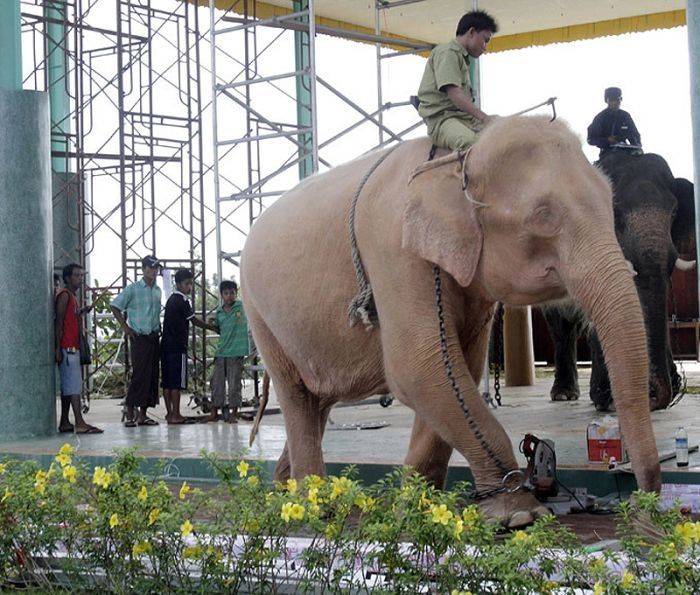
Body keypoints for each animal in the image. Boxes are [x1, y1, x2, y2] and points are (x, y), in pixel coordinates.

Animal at [239, 115, 656, 528]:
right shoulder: (395, 250)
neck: (458, 159)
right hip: (258, 313)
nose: (642, 511)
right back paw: (310, 508)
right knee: (296, 397)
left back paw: (282, 493)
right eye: (542, 216)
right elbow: (419, 368)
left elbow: (455, 370)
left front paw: (417, 512)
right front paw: (520, 515)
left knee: (317, 403)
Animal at [540, 150, 696, 410]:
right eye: (616, 210)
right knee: (560, 324)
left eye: (674, 212)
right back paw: (564, 394)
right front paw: (608, 398)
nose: (653, 396)